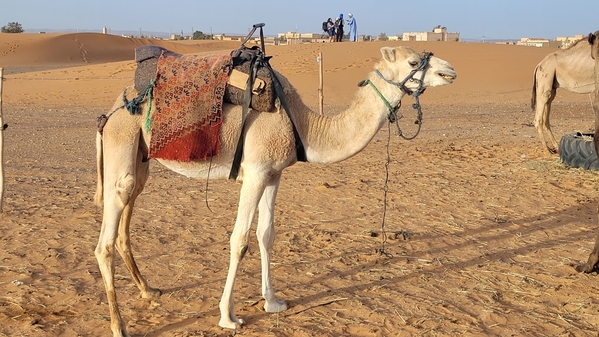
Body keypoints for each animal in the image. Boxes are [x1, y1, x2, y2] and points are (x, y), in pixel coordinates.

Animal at [96, 45, 458, 336]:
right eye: (413, 61)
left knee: (128, 216)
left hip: (142, 159)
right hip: (122, 141)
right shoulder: (255, 172)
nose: (450, 70)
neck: (303, 124)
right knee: (106, 238)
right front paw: (228, 316)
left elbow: (266, 234)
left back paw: (148, 292)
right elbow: (240, 239)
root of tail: (111, 110)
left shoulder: (273, 174)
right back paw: (118, 325)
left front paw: (272, 302)